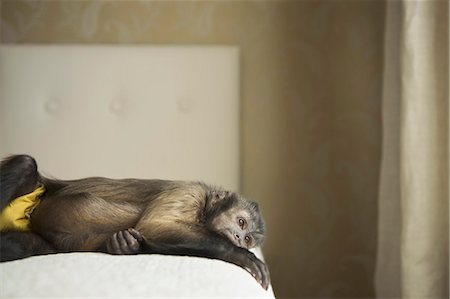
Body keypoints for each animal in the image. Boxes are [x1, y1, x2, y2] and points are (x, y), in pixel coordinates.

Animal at [0, 156, 268, 290]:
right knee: (26, 164)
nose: (238, 239)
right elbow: (154, 225)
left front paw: (125, 245)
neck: (203, 212)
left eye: (247, 238)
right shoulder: (189, 192)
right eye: (241, 222)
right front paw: (239, 255)